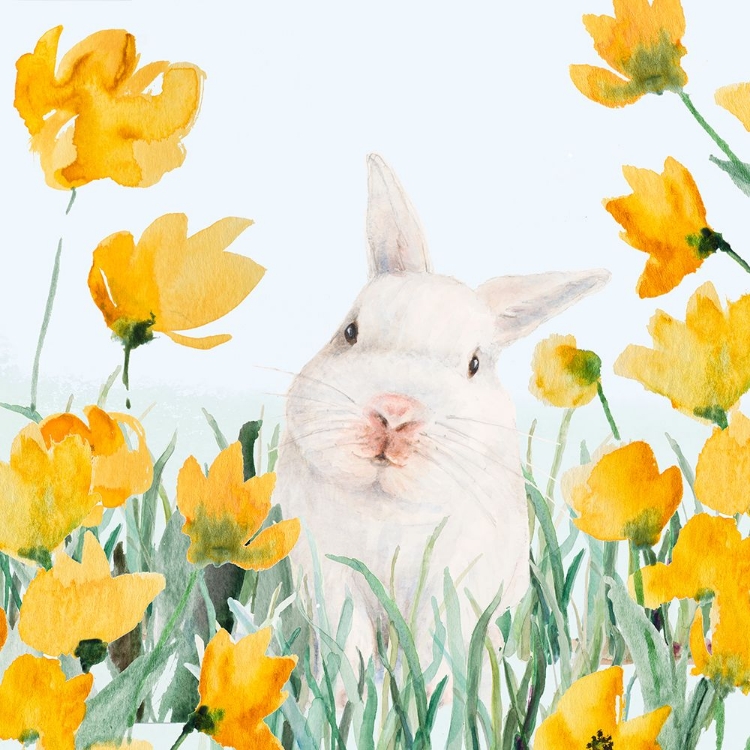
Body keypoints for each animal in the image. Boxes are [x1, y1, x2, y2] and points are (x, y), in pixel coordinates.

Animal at [274, 153, 608, 664]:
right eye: (349, 332)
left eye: (475, 364)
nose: (393, 412)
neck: (386, 506)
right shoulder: (329, 573)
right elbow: (349, 645)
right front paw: (357, 685)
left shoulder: (457, 580)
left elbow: (439, 648)